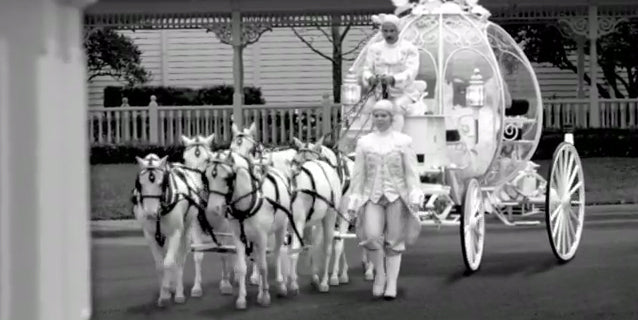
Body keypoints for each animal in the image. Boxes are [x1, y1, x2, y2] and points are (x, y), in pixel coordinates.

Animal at [132, 154, 205, 306]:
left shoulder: (175, 233)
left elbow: (169, 262)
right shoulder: (150, 236)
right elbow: (160, 265)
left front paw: (170, 291)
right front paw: (164, 293)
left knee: (182, 258)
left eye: (161, 184)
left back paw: (185, 290)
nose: (150, 214)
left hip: (189, 227)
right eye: (140, 184)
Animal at [180, 134, 235, 296]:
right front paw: (197, 287)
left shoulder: (225, 226)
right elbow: (198, 254)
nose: (194, 188)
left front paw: (225, 284)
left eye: (206, 160)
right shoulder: (195, 225)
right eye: (184, 159)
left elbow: (224, 252)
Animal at [202, 151, 292, 310]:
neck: (247, 204)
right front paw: (242, 298)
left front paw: (265, 296)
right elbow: (242, 268)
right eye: (206, 177)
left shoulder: (262, 237)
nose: (213, 209)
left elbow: (263, 267)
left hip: (280, 229)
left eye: (227, 178)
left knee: (276, 253)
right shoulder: (239, 237)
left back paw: (280, 286)